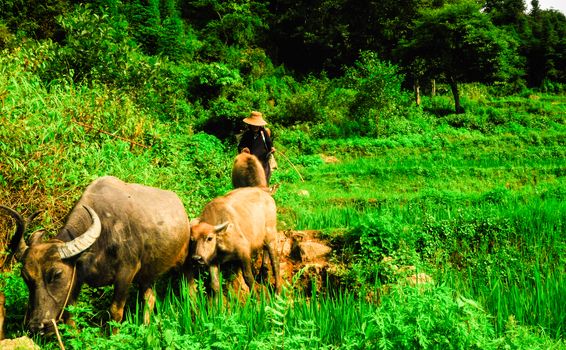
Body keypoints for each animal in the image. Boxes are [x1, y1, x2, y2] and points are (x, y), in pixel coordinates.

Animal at [0, 176, 193, 334]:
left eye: (57, 274)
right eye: (26, 277)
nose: (36, 326)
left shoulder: (126, 272)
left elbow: (115, 311)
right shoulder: (78, 277)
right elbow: (70, 314)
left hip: (183, 262)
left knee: (190, 289)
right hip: (146, 275)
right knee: (149, 298)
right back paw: (146, 328)